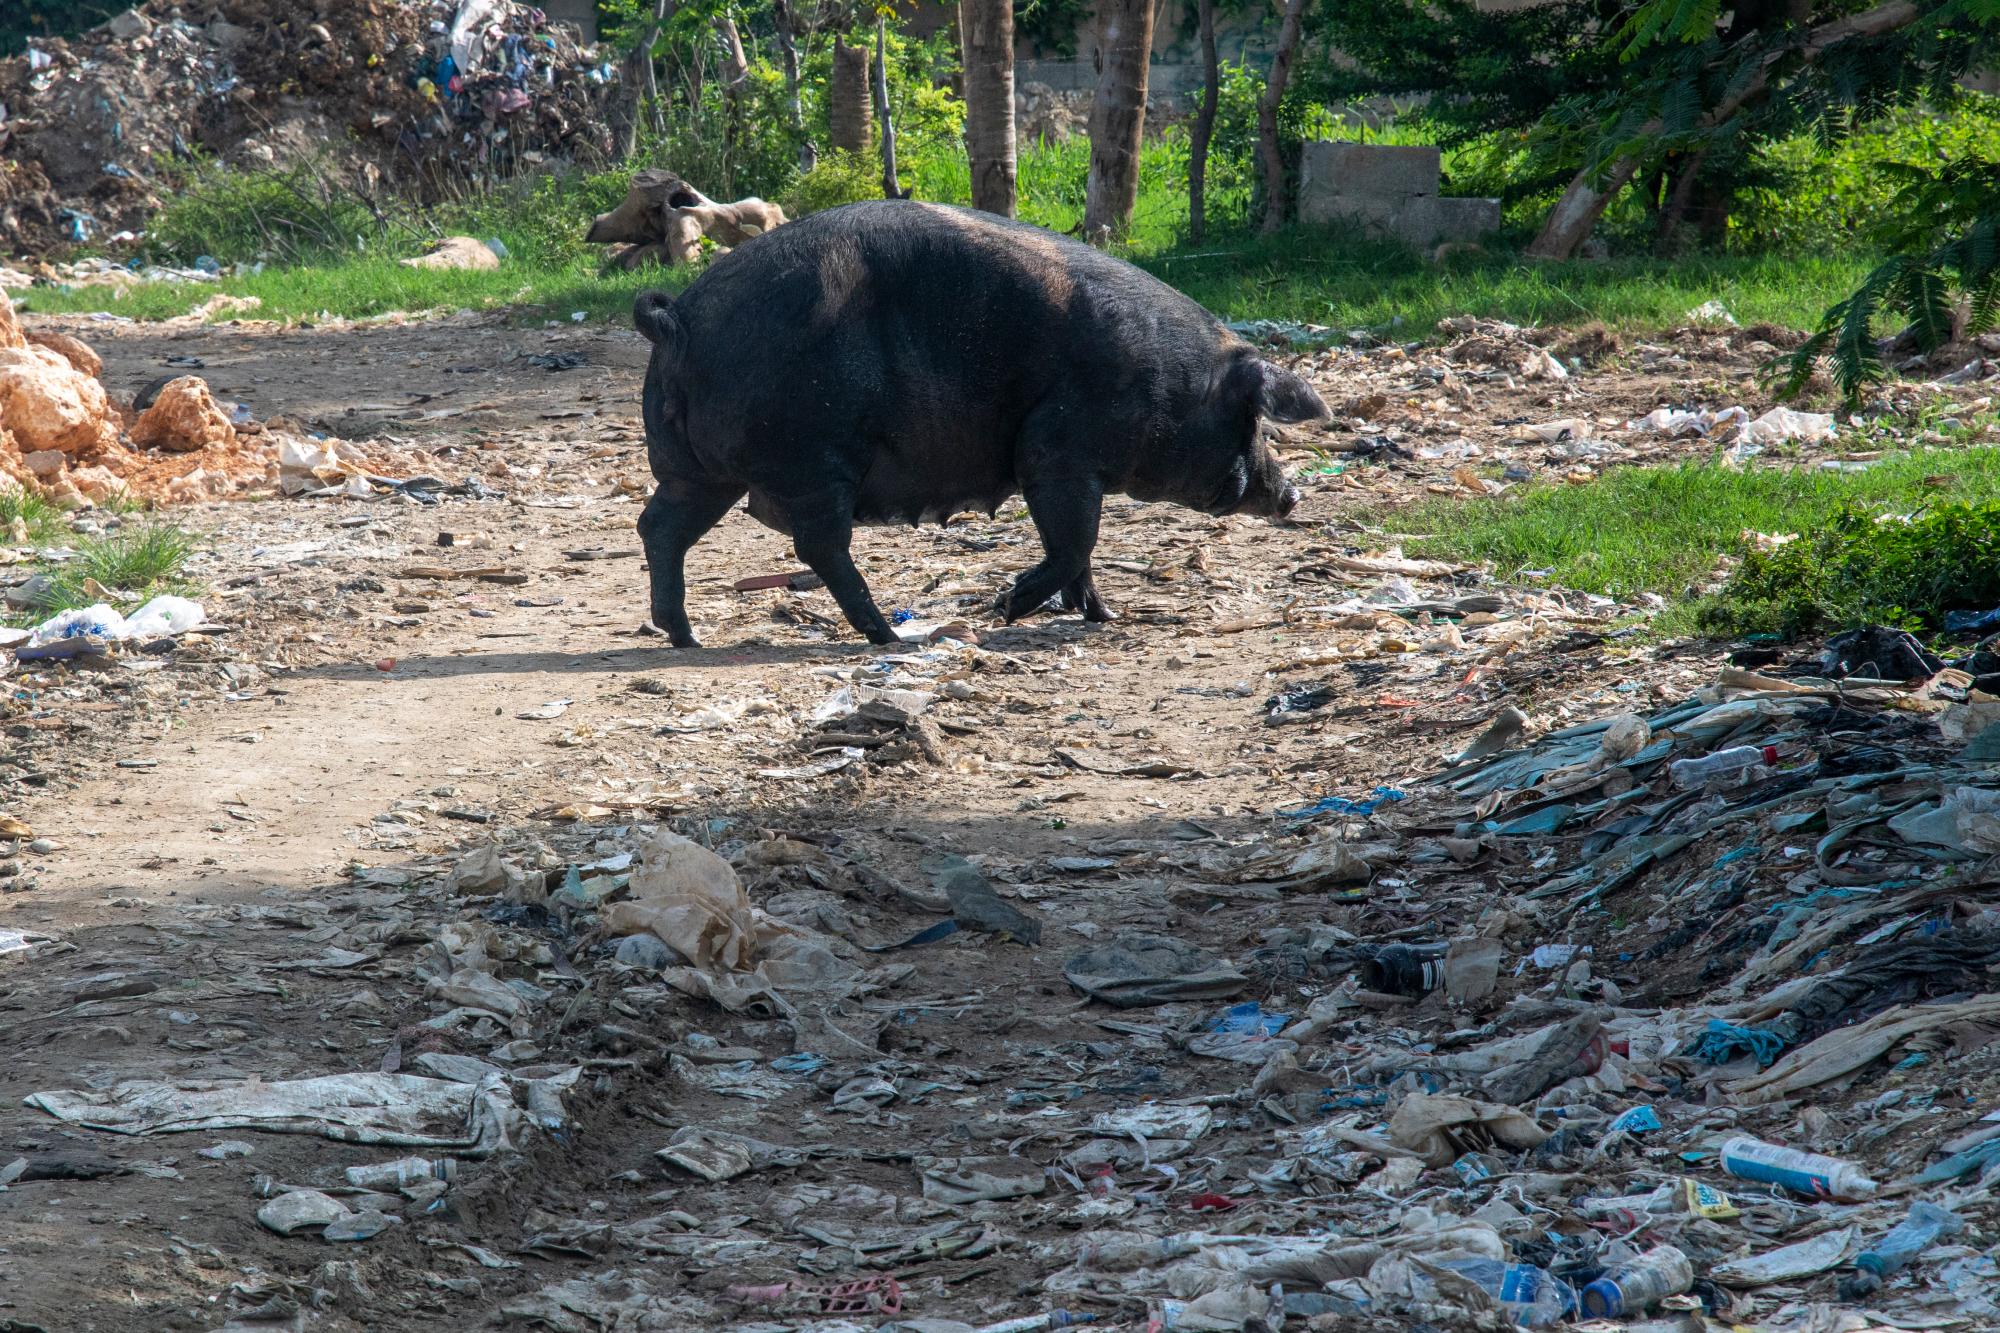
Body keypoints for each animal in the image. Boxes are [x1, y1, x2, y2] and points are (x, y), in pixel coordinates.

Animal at [633, 200, 1327, 647]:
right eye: (1254, 421)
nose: (1292, 494)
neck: (1170, 386)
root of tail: (678, 323)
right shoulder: (1056, 451)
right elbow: (1076, 540)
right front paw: (1007, 611)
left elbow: (1081, 550)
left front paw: (1101, 617)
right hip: (811, 457)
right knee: (819, 545)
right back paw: (888, 637)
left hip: (698, 472)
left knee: (660, 525)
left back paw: (685, 638)